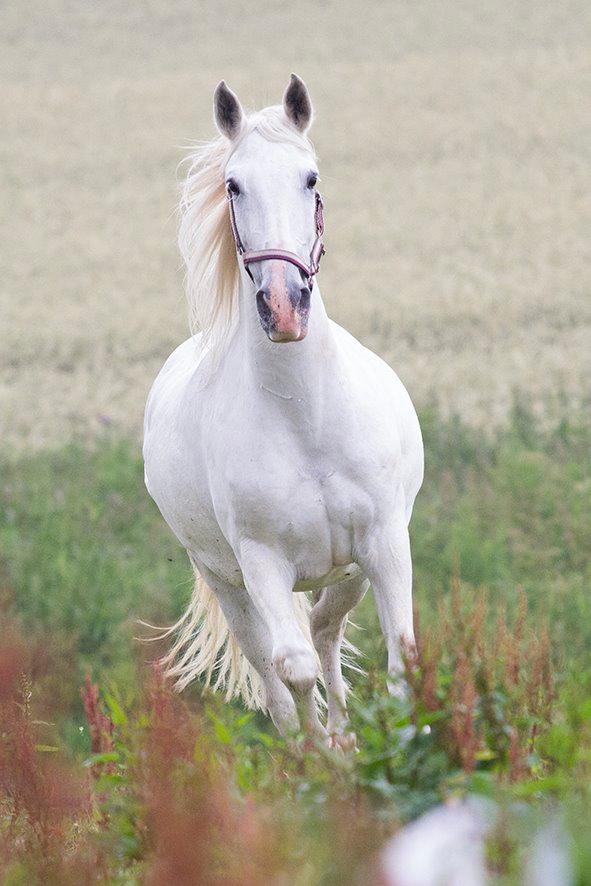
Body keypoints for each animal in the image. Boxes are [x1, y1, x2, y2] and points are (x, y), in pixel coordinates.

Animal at [142, 76, 420, 744]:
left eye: (310, 178)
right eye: (233, 185)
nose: (284, 306)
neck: (305, 422)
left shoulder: (383, 543)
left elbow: (401, 657)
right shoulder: (261, 562)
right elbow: (292, 671)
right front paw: (320, 761)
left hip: (347, 572)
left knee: (325, 630)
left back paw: (346, 737)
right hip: (229, 582)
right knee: (274, 671)